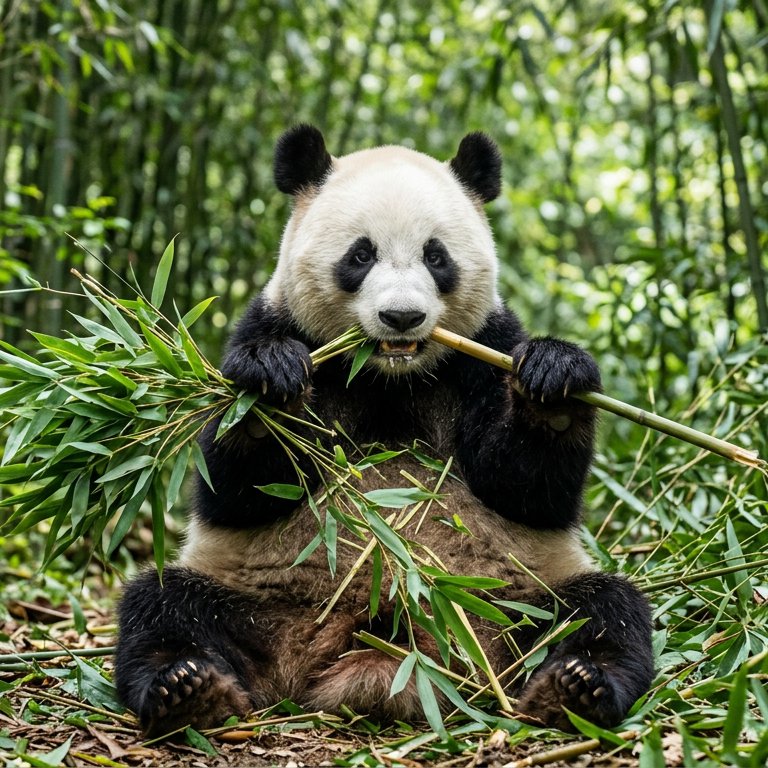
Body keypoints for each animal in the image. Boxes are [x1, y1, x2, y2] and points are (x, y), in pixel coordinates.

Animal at [114, 125, 654, 736]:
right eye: (361, 254)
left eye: (436, 256)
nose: (402, 317)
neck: (389, 376)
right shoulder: (272, 326)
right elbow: (236, 490)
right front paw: (270, 383)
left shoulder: (485, 348)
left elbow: (525, 489)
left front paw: (553, 383)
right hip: (254, 596)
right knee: (164, 606)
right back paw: (190, 688)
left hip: (517, 597)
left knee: (601, 611)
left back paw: (573, 686)